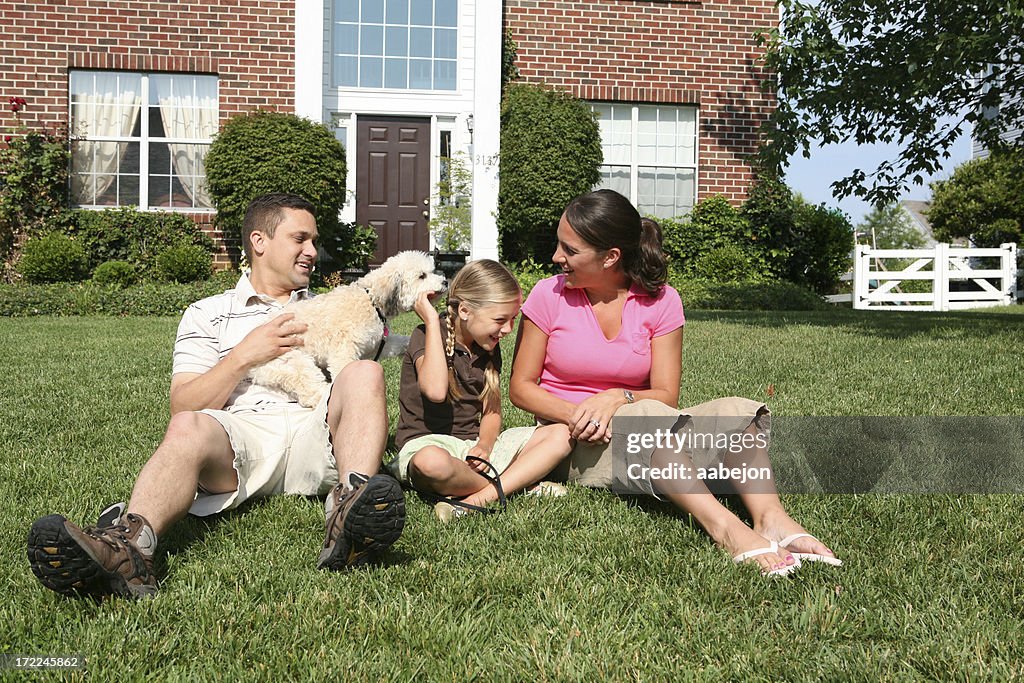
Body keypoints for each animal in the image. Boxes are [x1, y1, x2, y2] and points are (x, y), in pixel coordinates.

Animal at [249, 253, 446, 409]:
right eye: (422, 276)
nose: (445, 281)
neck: (371, 300)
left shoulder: (377, 345)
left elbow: (400, 342)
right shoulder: (344, 350)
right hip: (294, 362)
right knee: (312, 390)